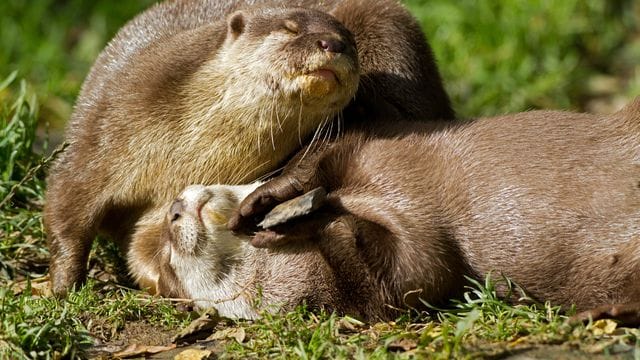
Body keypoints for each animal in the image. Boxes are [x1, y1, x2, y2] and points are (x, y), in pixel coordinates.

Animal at [43, 0, 456, 296]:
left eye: (350, 42)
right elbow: (66, 207)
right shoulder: (101, 131)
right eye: (290, 29)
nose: (334, 43)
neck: (188, 150)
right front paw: (61, 288)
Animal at [154, 97, 640, 320]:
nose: (173, 210)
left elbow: (319, 160)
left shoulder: (371, 142)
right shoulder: (417, 276)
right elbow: (408, 265)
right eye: (168, 263)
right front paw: (308, 221)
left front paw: (267, 202)